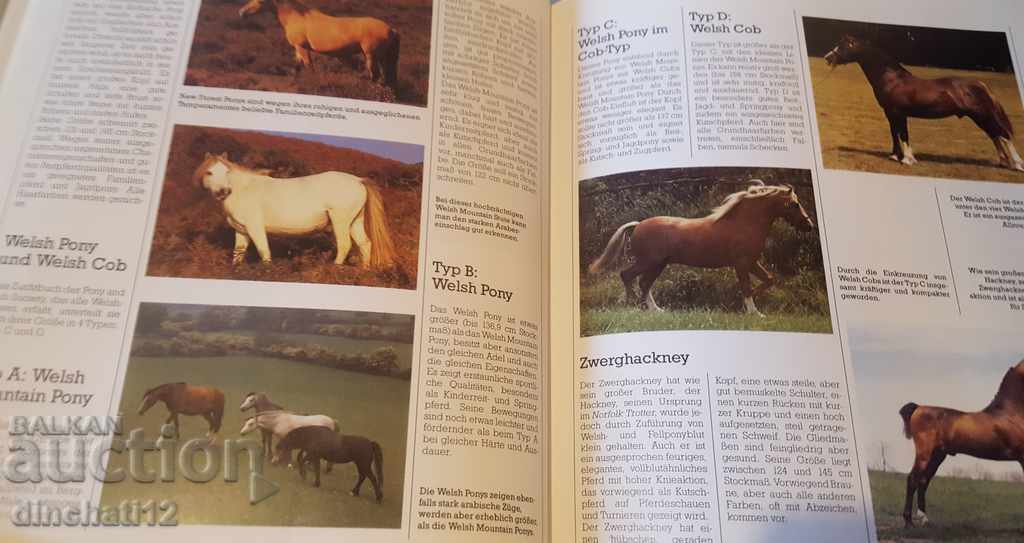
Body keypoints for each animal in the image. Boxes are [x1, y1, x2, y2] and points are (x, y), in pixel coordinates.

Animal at [192, 153, 398, 269]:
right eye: (209, 172)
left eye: (226, 172)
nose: (223, 192)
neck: (243, 189)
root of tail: (358, 180)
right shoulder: (241, 231)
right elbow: (238, 254)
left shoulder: (255, 228)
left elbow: (264, 251)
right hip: (355, 222)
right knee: (365, 244)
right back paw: (364, 271)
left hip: (341, 222)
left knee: (344, 245)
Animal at [238, 0, 400, 87]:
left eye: (260, 1)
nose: (241, 12)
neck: (297, 17)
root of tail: (391, 29)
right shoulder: (298, 48)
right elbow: (297, 67)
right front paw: (294, 83)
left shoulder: (302, 48)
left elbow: (309, 67)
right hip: (382, 58)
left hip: (372, 56)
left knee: (376, 76)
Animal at [588, 180, 815, 316]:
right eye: (794, 204)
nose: (809, 225)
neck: (743, 223)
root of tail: (637, 225)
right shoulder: (742, 264)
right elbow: (747, 287)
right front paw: (752, 312)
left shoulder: (751, 262)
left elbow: (769, 279)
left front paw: (748, 307)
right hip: (648, 262)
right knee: (628, 276)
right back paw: (632, 303)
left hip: (658, 264)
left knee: (644, 283)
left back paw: (656, 309)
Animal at [823, 34, 1024, 171]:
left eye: (844, 46)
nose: (827, 57)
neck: (892, 79)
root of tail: (980, 84)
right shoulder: (889, 113)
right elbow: (894, 134)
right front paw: (895, 156)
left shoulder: (899, 113)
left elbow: (903, 134)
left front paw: (907, 159)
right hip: (979, 117)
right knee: (995, 135)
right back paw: (1003, 161)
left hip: (982, 114)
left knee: (1003, 134)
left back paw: (1017, 164)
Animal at [898, 358, 1024, 528]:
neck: (1011, 412)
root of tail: (919, 408)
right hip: (924, 454)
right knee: (912, 479)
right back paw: (908, 522)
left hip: (938, 455)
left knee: (923, 481)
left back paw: (924, 519)